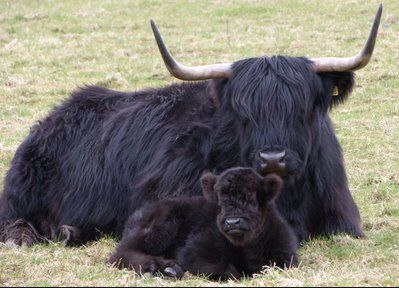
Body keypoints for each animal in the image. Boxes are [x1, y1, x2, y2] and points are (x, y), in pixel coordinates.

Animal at [0, 5, 384, 244]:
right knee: (12, 220)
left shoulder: (343, 219)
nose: (273, 158)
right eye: (243, 113)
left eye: (302, 108)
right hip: (21, 192)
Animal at [108, 168, 298, 280]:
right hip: (159, 228)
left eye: (250, 199)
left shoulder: (285, 254)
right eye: (220, 202)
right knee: (121, 253)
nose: (233, 222)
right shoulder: (193, 250)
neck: (243, 247)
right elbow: (227, 270)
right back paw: (162, 268)